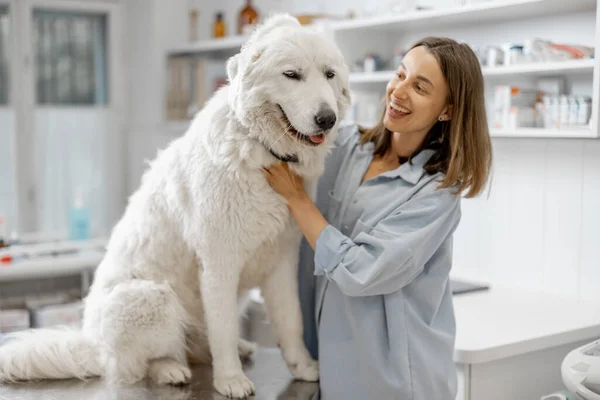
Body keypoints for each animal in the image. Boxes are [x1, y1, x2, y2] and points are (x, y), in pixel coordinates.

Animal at [0, 14, 352, 398]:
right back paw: (171, 369)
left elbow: (291, 321)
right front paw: (230, 380)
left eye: (329, 74)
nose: (327, 119)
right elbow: (223, 327)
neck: (260, 150)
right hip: (152, 297)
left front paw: (303, 367)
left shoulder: (282, 261)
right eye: (292, 75)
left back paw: (234, 349)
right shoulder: (218, 263)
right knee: (138, 363)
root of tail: (92, 343)